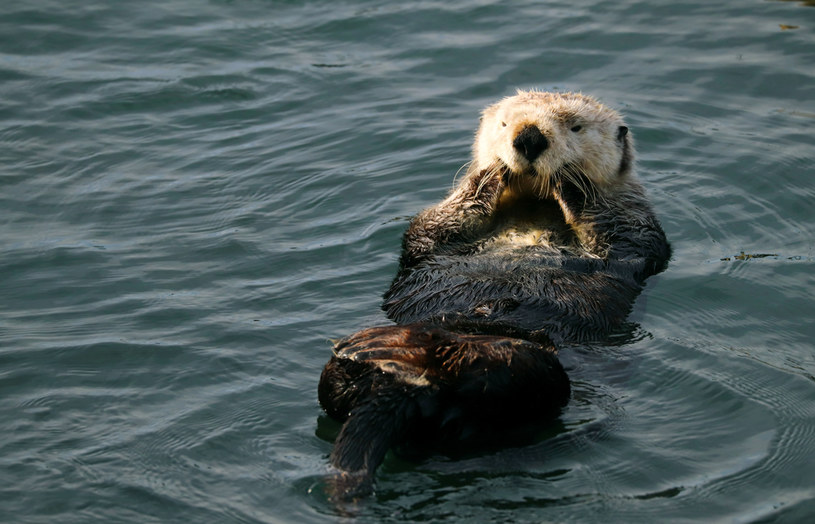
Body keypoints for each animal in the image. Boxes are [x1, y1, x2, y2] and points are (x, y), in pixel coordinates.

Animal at [318, 91, 668, 500]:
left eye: (576, 127)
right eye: (504, 124)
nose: (529, 136)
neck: (536, 210)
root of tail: (406, 388)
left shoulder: (638, 227)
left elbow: (621, 234)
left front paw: (574, 185)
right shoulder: (431, 235)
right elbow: (430, 227)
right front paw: (486, 178)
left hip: (533, 377)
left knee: (500, 373)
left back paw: (416, 347)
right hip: (344, 377)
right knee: (335, 389)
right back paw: (380, 345)